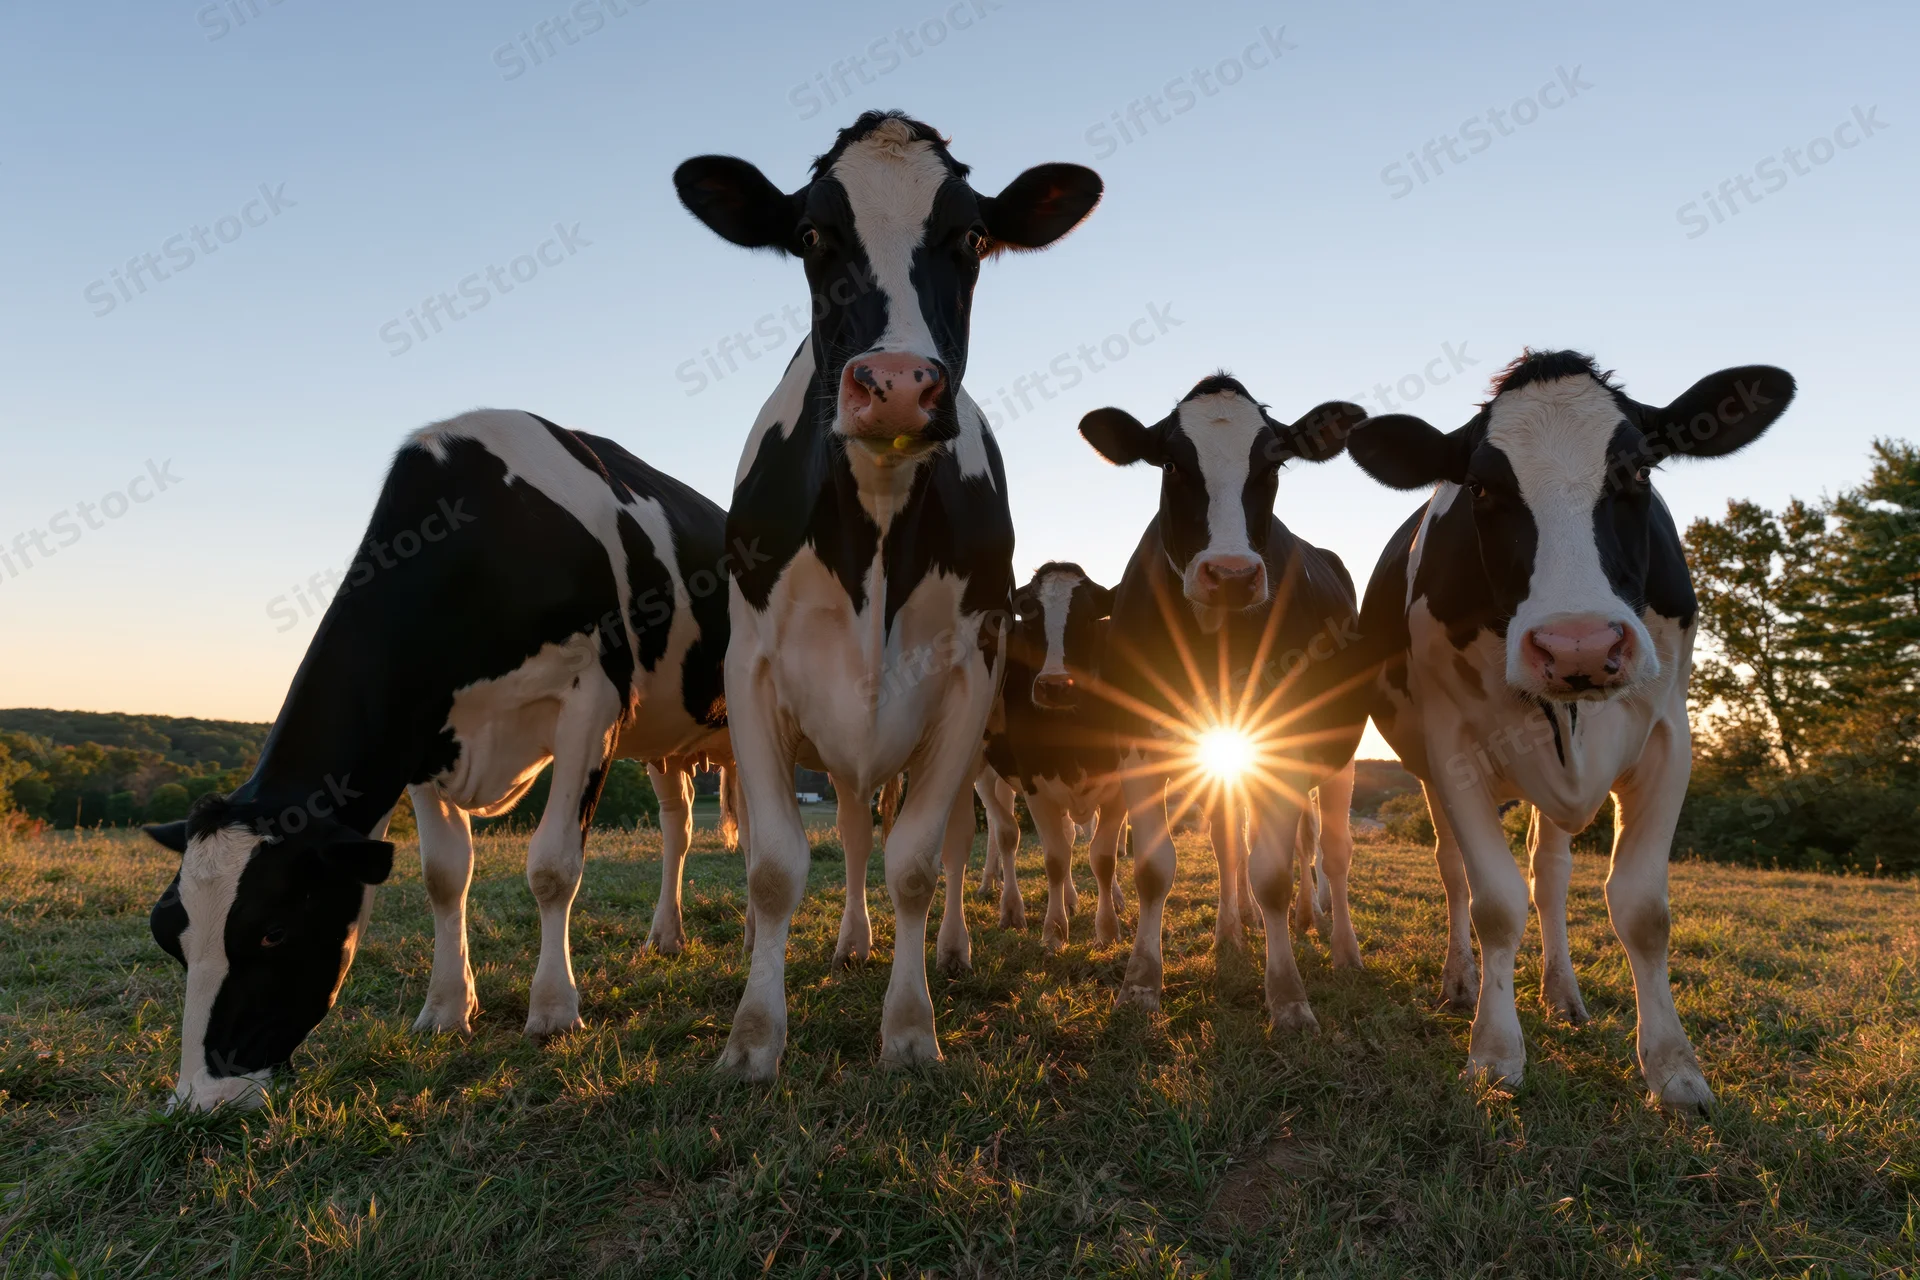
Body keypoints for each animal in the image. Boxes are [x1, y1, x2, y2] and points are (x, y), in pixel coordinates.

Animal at [143, 412, 736, 1109]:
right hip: (666, 742)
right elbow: (444, 875)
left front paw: (553, 1010)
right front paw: (448, 1009)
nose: (199, 1098)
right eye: (167, 932)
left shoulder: (593, 699)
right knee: (679, 825)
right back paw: (666, 934)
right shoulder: (423, 738)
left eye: (274, 931)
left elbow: (552, 867)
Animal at [673, 110, 1102, 1077]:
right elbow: (776, 867)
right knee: (854, 832)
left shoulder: (968, 678)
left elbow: (916, 862)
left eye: (971, 238)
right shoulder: (753, 670)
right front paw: (753, 1038)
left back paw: (949, 948)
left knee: (948, 846)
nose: (898, 385)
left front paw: (909, 1029)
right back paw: (850, 942)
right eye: (810, 236)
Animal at [982, 562, 1129, 948]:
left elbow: (1102, 857)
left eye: (1090, 617)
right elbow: (1055, 858)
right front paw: (1053, 930)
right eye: (1029, 618)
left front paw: (1107, 929)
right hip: (982, 770)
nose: (1055, 686)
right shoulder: (1035, 782)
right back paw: (1010, 907)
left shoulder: (1120, 784)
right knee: (1005, 832)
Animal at [1080, 374, 1370, 1027]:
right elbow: (1156, 867)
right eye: (1170, 462)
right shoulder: (1140, 739)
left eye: (1275, 463)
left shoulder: (1283, 740)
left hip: (1335, 753)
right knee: (1227, 838)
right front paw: (1141, 984)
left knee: (1334, 853)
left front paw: (1287, 996)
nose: (1232, 574)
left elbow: (1274, 874)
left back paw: (1342, 948)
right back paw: (1231, 931)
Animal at [1346, 348, 1796, 1112]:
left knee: (1550, 873)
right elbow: (1495, 902)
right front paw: (1495, 1052)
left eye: (1639, 471)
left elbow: (1641, 909)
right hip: (1429, 767)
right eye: (1483, 488)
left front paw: (1674, 1068)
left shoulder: (1668, 739)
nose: (1578, 646)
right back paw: (1460, 983)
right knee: (1453, 868)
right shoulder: (1452, 747)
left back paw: (1562, 993)